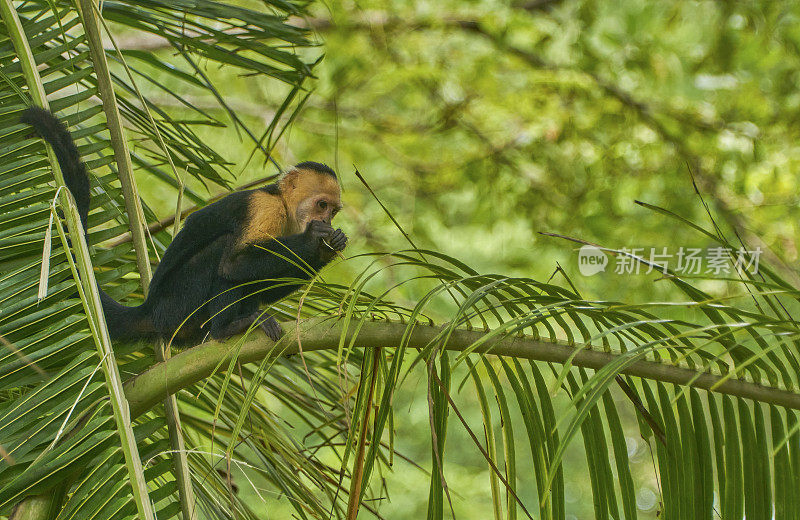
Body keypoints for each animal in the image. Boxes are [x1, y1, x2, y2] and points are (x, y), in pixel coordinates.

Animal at [21, 107, 346, 344]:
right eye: (321, 205)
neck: (285, 207)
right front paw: (315, 239)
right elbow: (234, 264)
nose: (326, 220)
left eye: (333, 210)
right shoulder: (265, 209)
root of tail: (150, 310)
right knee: (221, 254)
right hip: (176, 307)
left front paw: (327, 248)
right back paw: (227, 328)